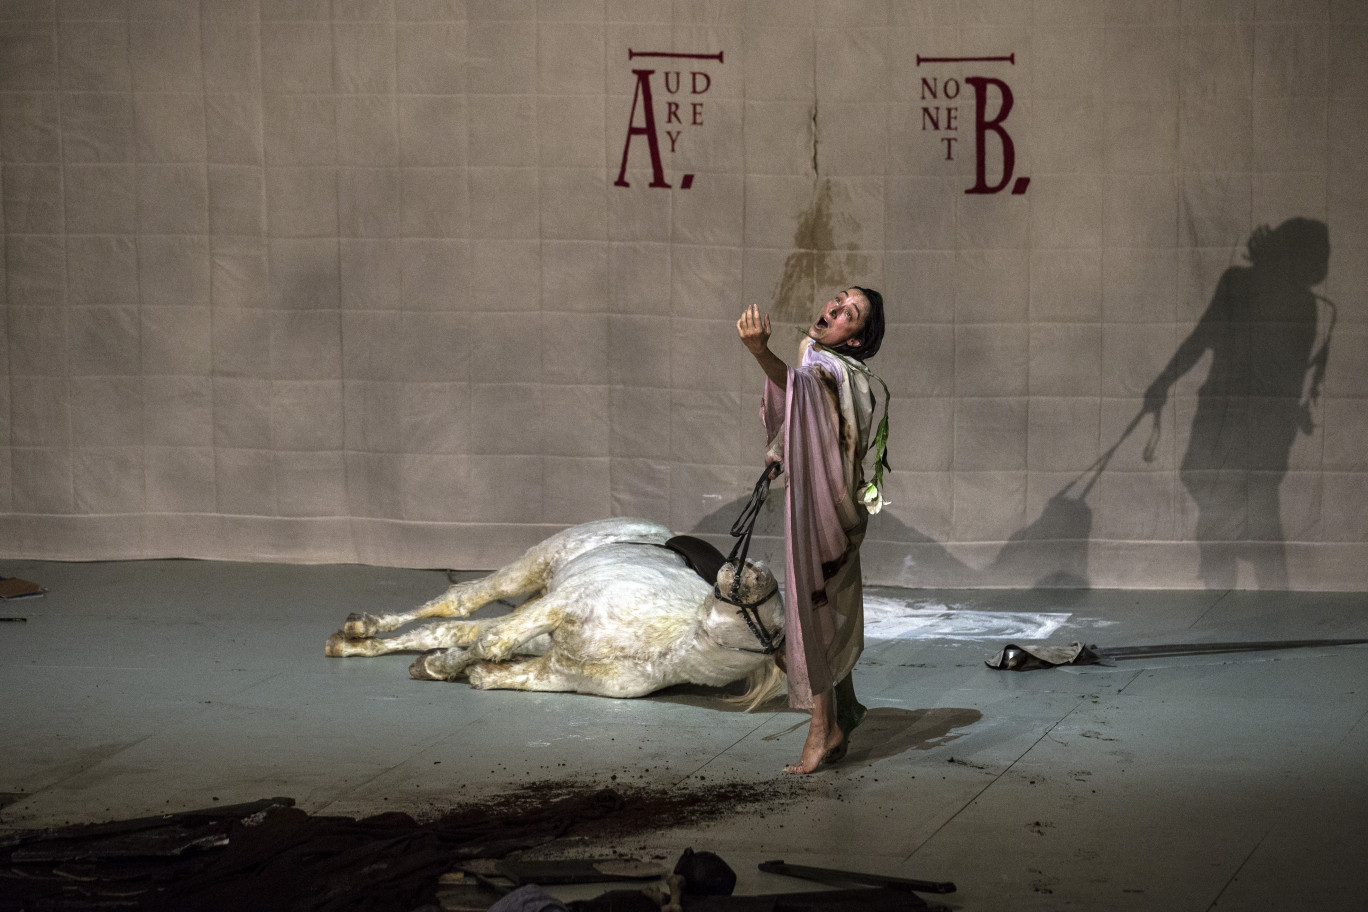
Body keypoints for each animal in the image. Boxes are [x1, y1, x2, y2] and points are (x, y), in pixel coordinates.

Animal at [322, 516, 782, 705]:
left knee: (450, 630)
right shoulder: (561, 606)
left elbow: (489, 665)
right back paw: (362, 626)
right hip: (531, 571)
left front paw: (445, 668)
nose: (752, 568)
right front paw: (440, 667)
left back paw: (355, 643)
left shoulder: (553, 672)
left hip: (536, 619)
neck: (658, 645)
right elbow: (491, 643)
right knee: (459, 600)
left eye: (775, 625)